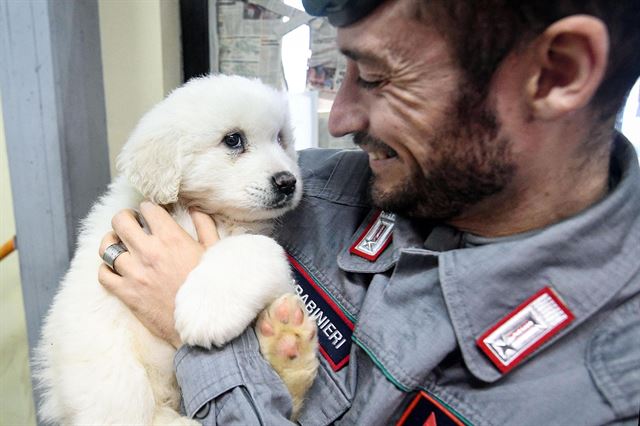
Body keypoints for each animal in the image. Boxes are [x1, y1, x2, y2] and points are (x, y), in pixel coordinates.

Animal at [33, 75, 318, 424]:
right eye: (233, 140)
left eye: (281, 139)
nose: (288, 182)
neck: (211, 213)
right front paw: (209, 311)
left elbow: (255, 248)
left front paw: (208, 309)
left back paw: (287, 344)